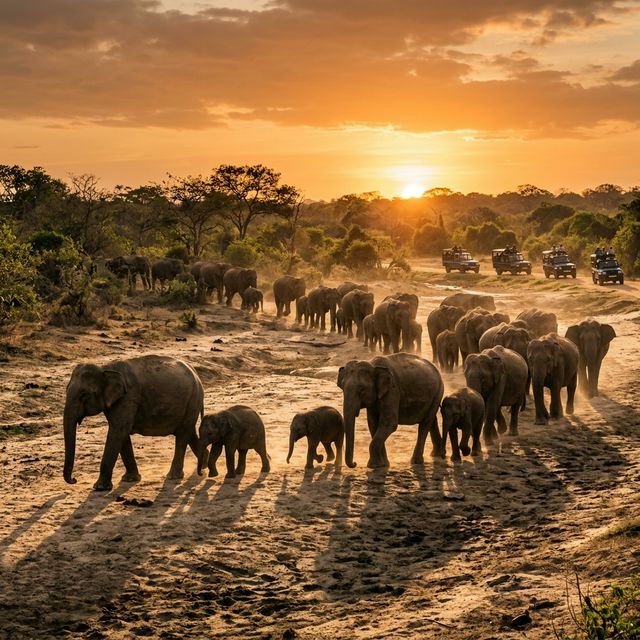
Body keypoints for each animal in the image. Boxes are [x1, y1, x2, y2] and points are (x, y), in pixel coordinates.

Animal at [63, 355, 204, 491]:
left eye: (83, 395)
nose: (74, 479)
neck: (105, 368)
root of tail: (196, 375)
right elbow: (121, 433)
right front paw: (130, 479)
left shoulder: (128, 397)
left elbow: (118, 431)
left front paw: (99, 488)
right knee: (189, 433)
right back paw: (205, 468)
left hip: (193, 399)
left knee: (183, 435)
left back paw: (173, 476)